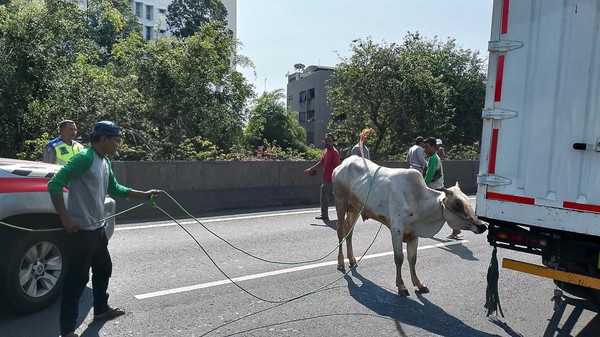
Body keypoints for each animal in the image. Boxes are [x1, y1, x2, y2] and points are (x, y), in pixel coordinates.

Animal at [332, 155, 488, 294]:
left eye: (467, 202)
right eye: (458, 205)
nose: (482, 226)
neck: (418, 201)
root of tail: (343, 164)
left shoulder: (414, 233)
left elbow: (412, 259)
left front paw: (419, 284)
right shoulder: (396, 229)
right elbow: (399, 258)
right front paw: (401, 286)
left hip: (355, 208)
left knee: (349, 232)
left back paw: (352, 260)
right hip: (340, 202)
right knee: (340, 231)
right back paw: (341, 263)